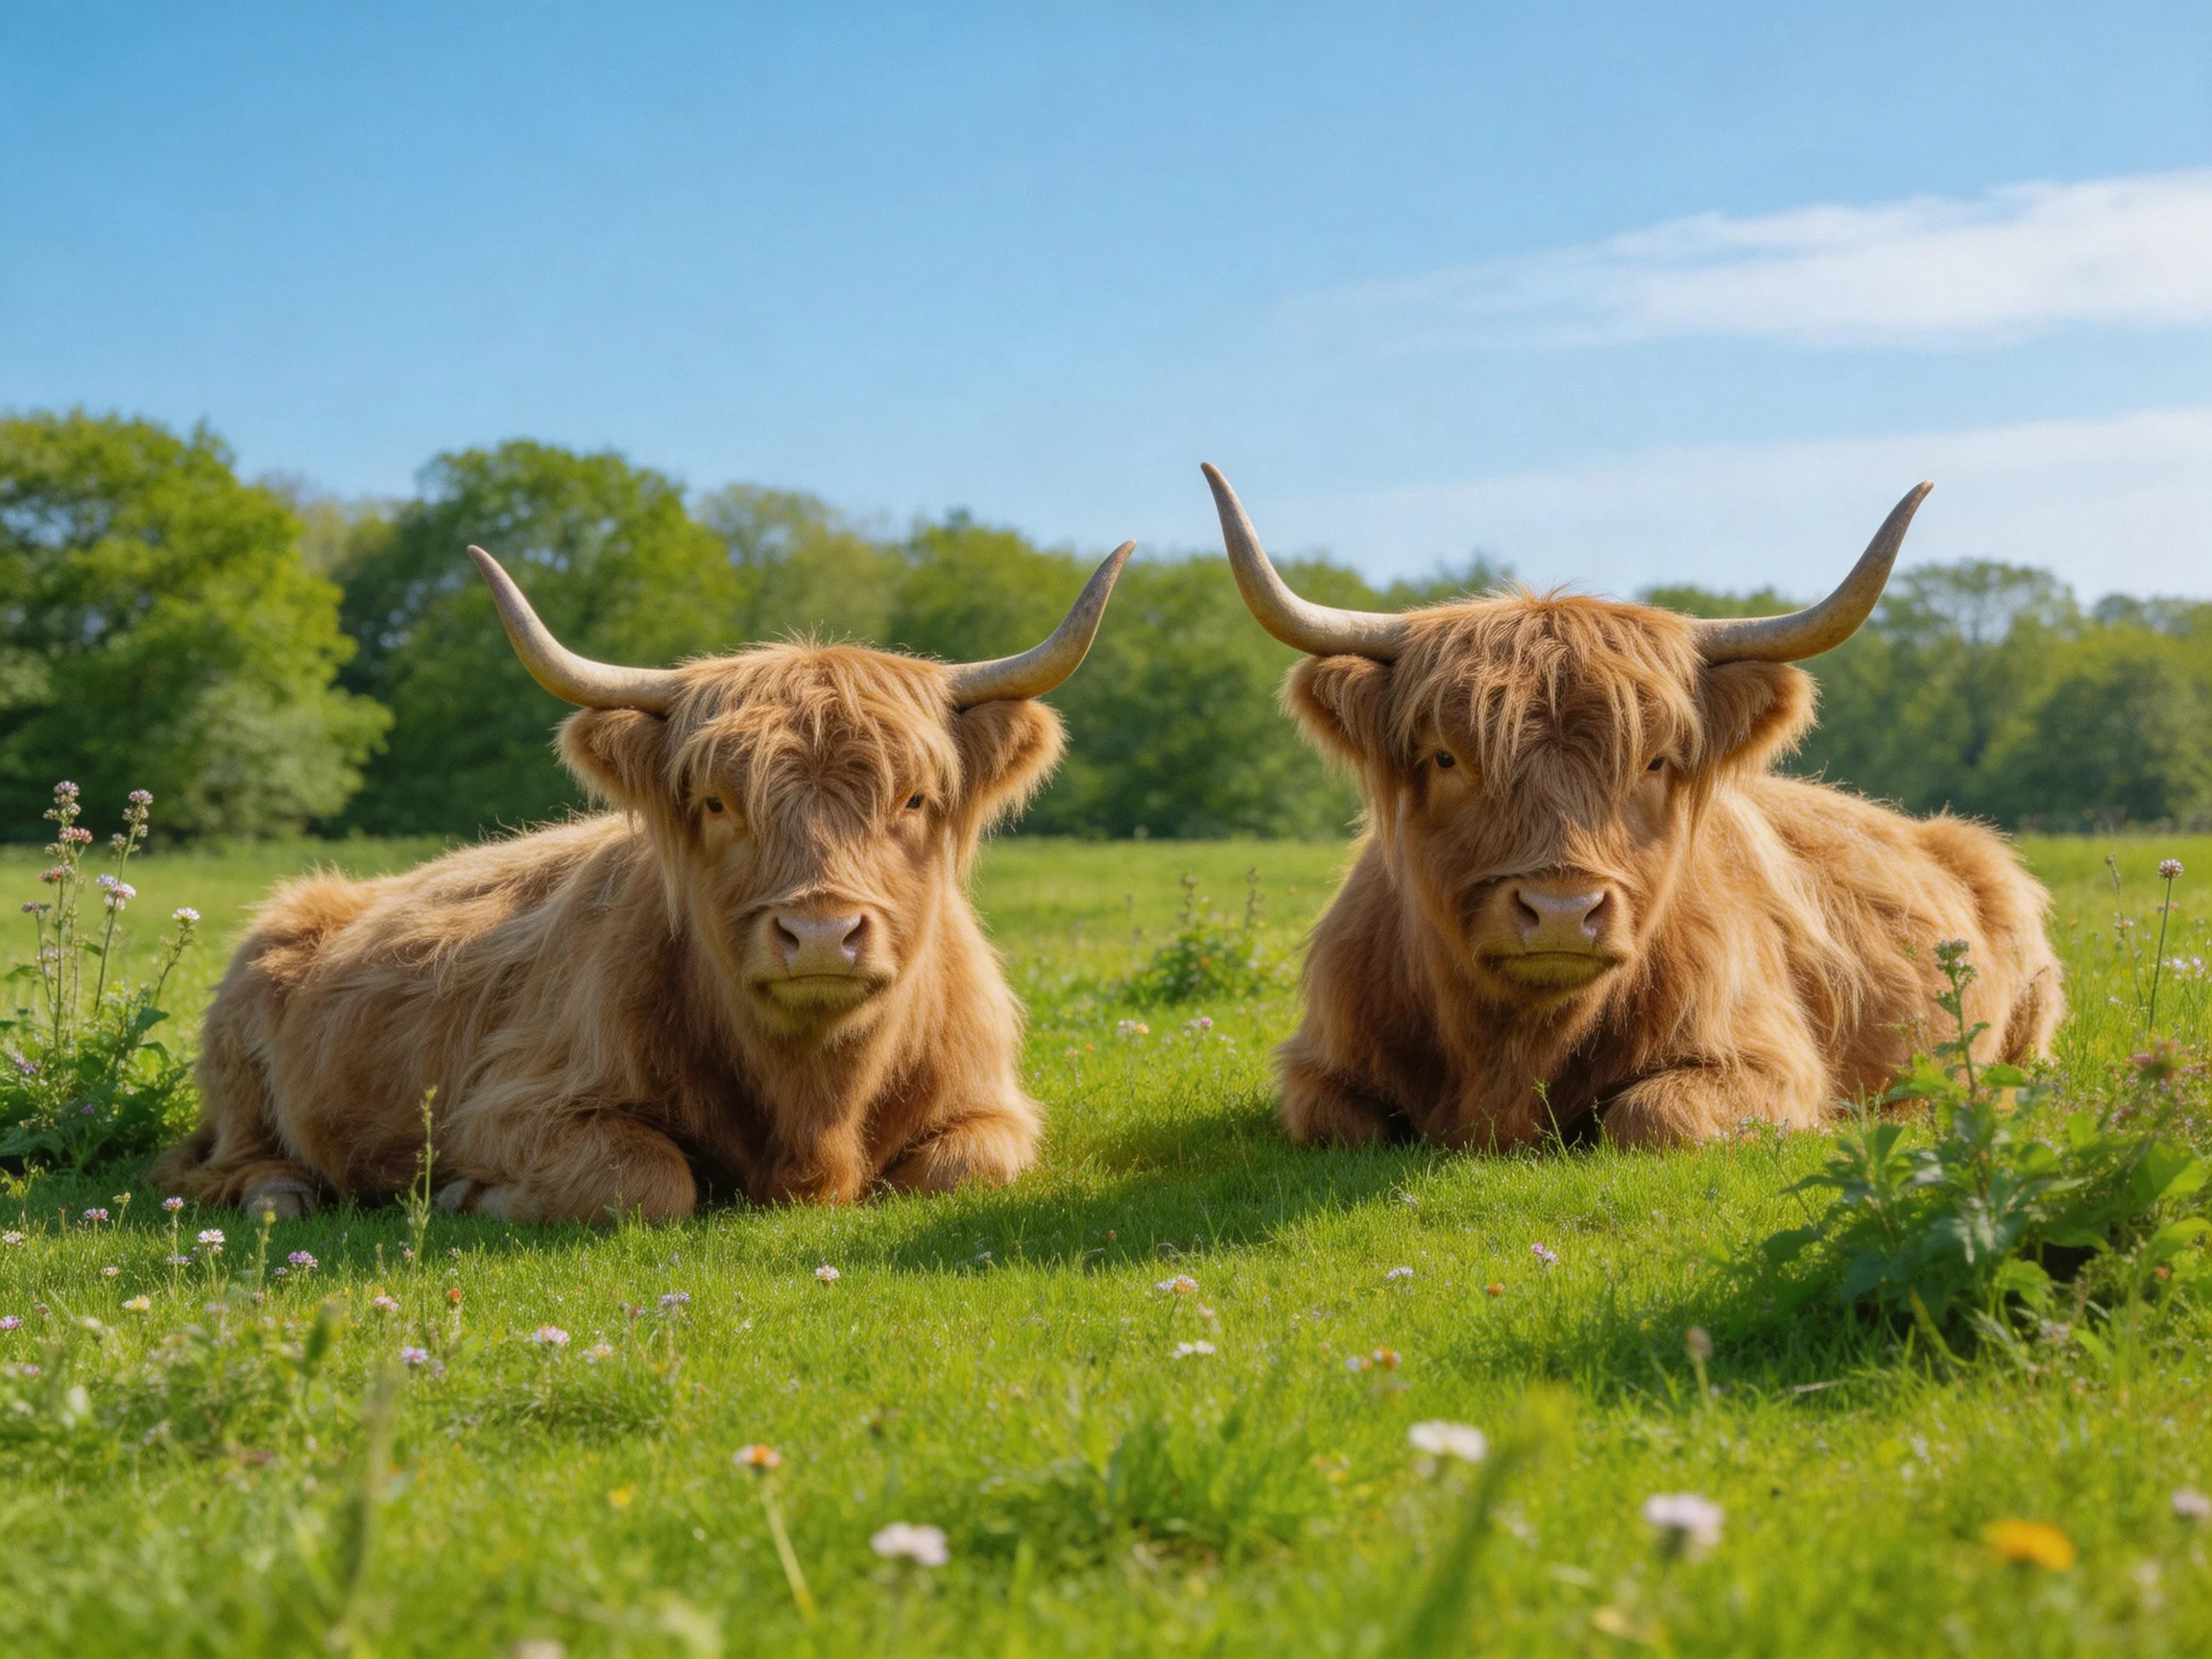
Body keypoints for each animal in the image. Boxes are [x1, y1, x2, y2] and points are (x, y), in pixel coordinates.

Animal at [153, 539, 1133, 1222]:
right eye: (715, 802)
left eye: (916, 797)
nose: (820, 934)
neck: (815, 1104)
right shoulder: (503, 1106)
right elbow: (646, 1179)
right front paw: (465, 1196)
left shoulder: (992, 1105)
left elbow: (960, 1169)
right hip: (240, 1052)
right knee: (220, 1163)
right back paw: (285, 1195)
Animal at [1202, 464, 2061, 1151]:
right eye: (1447, 756)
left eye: (1654, 761)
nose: (1560, 911)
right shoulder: (1321, 1063)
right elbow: (1339, 1121)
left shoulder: (1771, 1062)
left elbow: (1650, 1116)